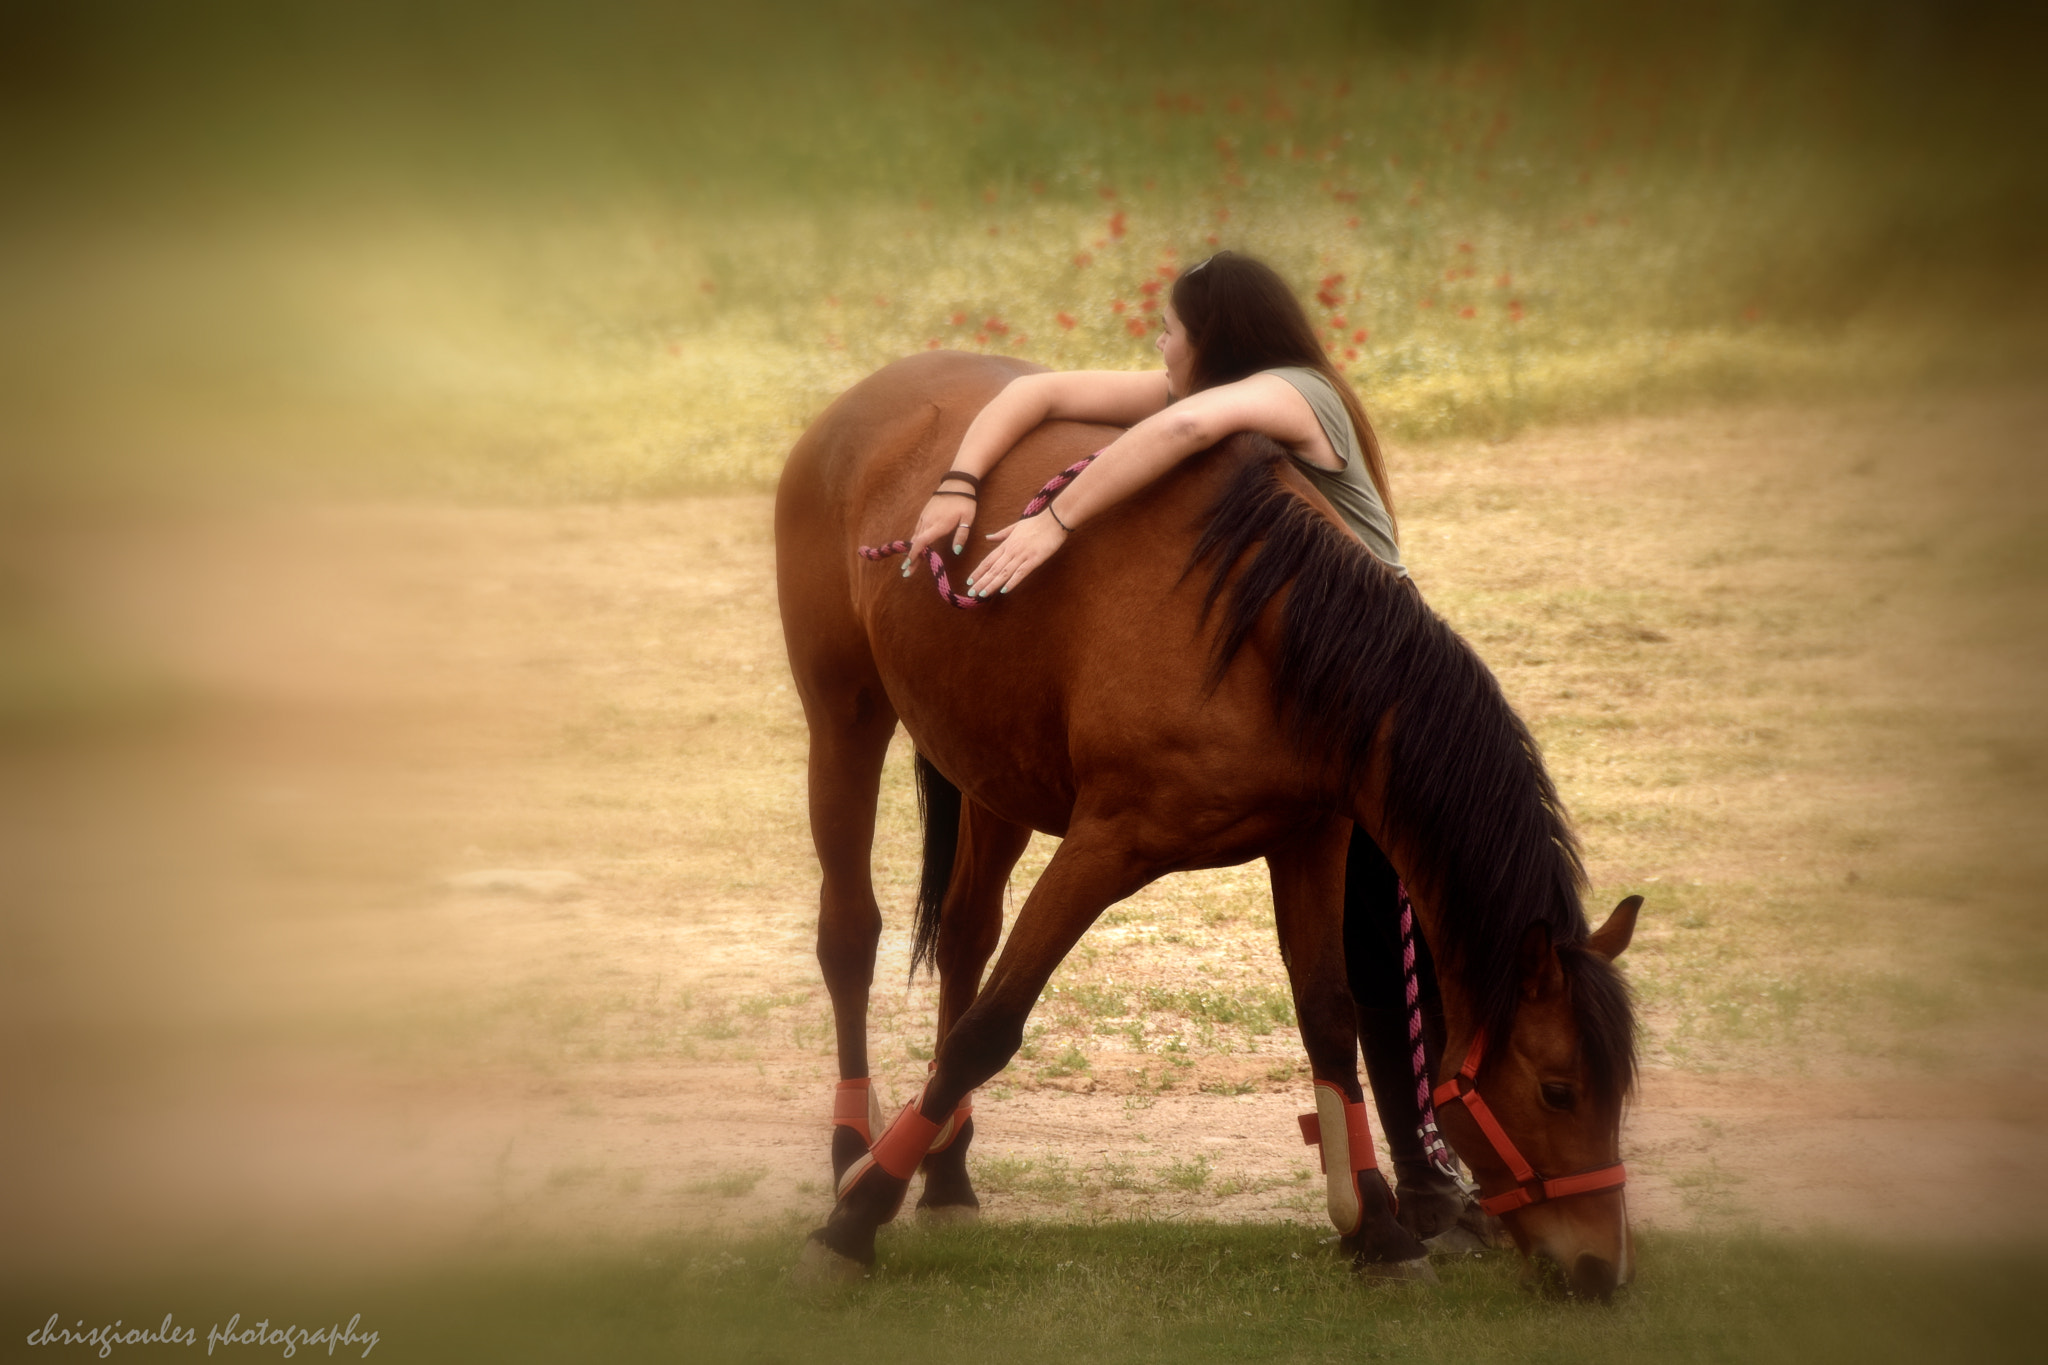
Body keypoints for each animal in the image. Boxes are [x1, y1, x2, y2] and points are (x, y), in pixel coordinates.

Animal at [774, 350, 1642, 1299]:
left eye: (1617, 1093)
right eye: (1558, 1088)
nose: (1600, 1265)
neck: (1272, 632)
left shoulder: (1311, 837)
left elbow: (1330, 1016)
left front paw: (1376, 1226)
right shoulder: (1105, 843)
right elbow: (990, 1028)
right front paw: (852, 1223)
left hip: (992, 772)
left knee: (967, 936)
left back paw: (947, 1171)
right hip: (845, 717)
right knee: (850, 937)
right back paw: (851, 1154)